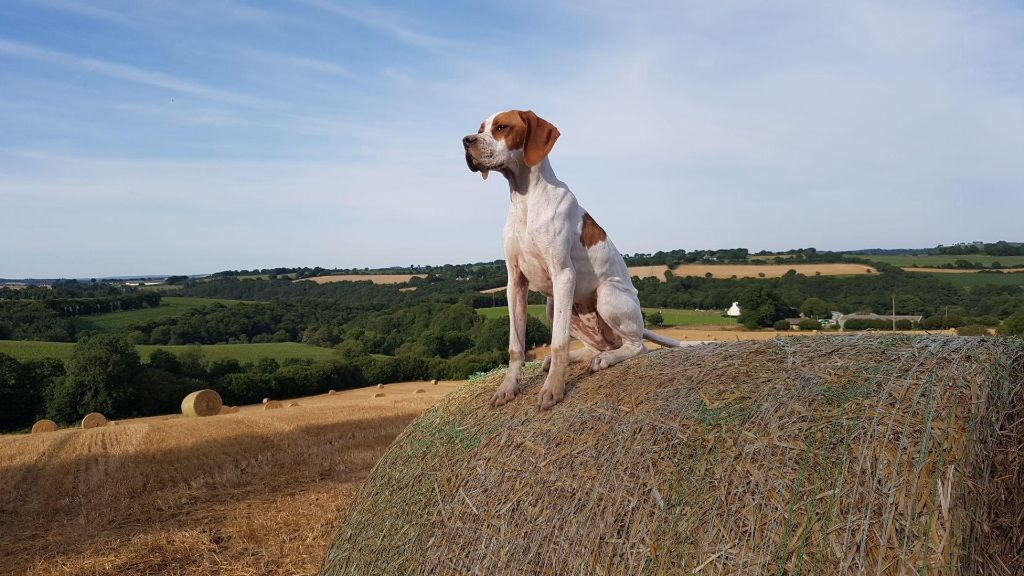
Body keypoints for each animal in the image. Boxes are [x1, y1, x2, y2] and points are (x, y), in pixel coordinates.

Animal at [464, 108, 679, 407]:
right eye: (480, 129)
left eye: (502, 127)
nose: (466, 141)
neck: (525, 199)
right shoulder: (515, 282)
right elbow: (516, 345)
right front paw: (508, 387)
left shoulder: (563, 275)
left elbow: (558, 342)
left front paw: (553, 389)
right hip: (553, 306)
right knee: (595, 346)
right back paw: (579, 357)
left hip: (606, 294)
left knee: (637, 346)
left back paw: (606, 359)